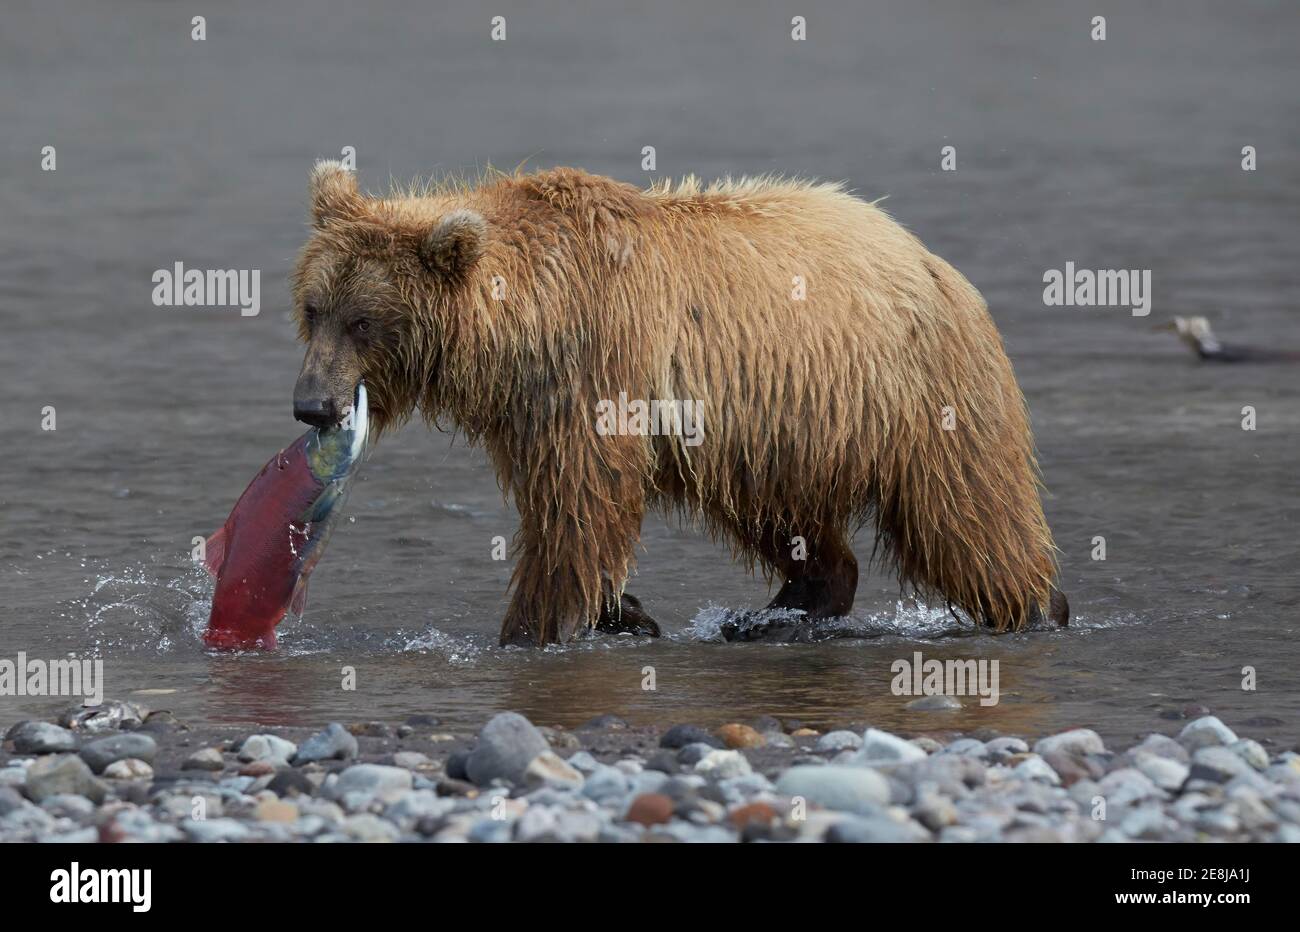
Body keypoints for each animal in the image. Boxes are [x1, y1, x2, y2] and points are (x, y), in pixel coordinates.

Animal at [292, 159, 1066, 644]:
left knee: (966, 512)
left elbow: (581, 508)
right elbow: (571, 508)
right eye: (313, 308)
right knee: (780, 517)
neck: (528, 329)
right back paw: (782, 608)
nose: (312, 404)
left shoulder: (601, 367)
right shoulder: (531, 411)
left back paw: (1035, 604)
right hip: (778, 426)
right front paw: (622, 609)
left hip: (918, 393)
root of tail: (931, 260)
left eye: (363, 321)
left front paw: (533, 626)